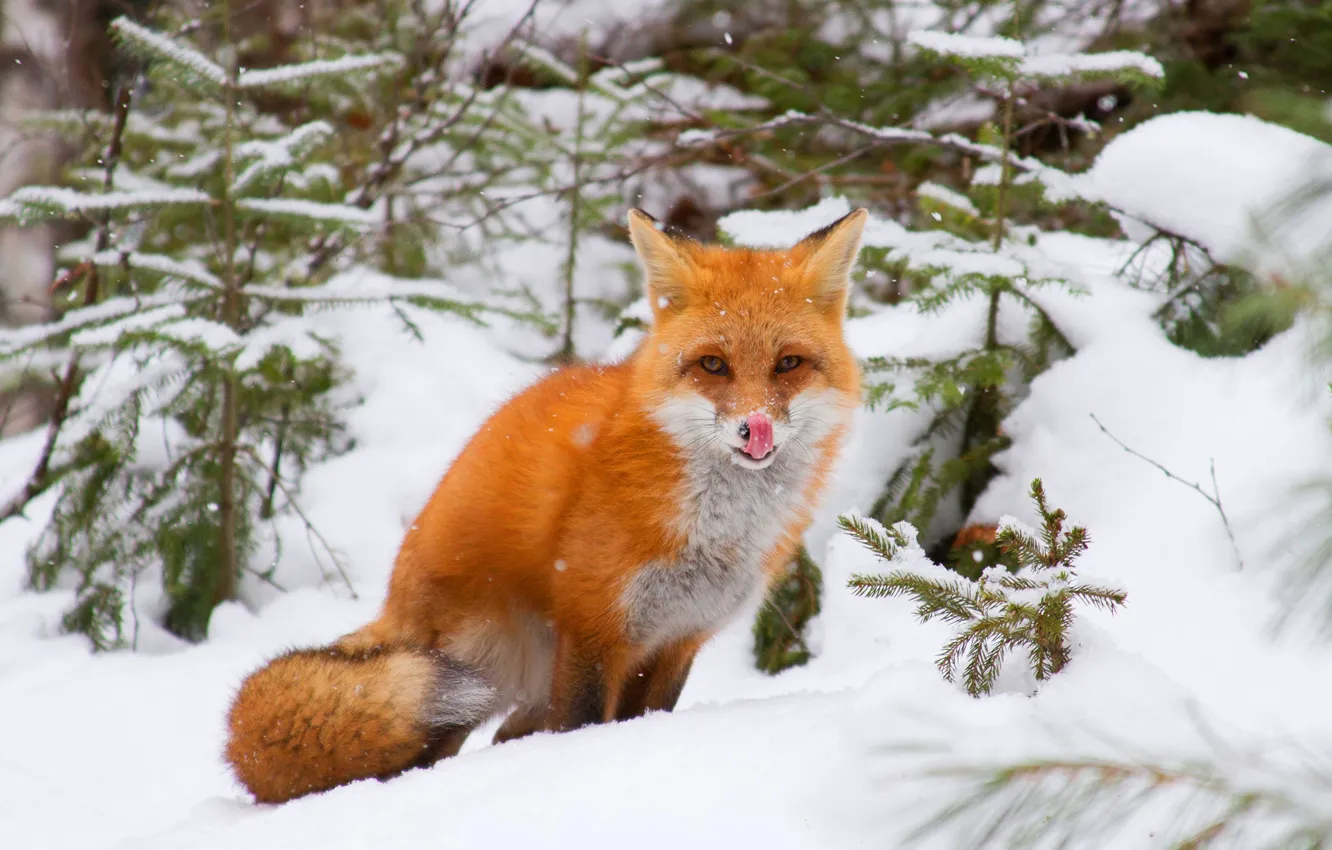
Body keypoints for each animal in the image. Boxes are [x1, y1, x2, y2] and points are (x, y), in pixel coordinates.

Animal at [224, 207, 868, 804]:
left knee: (505, 735)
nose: (754, 429)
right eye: (713, 364)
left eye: (788, 363)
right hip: (465, 680)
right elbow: (582, 726)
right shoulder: (593, 627)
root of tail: (396, 599)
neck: (716, 535)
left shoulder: (676, 642)